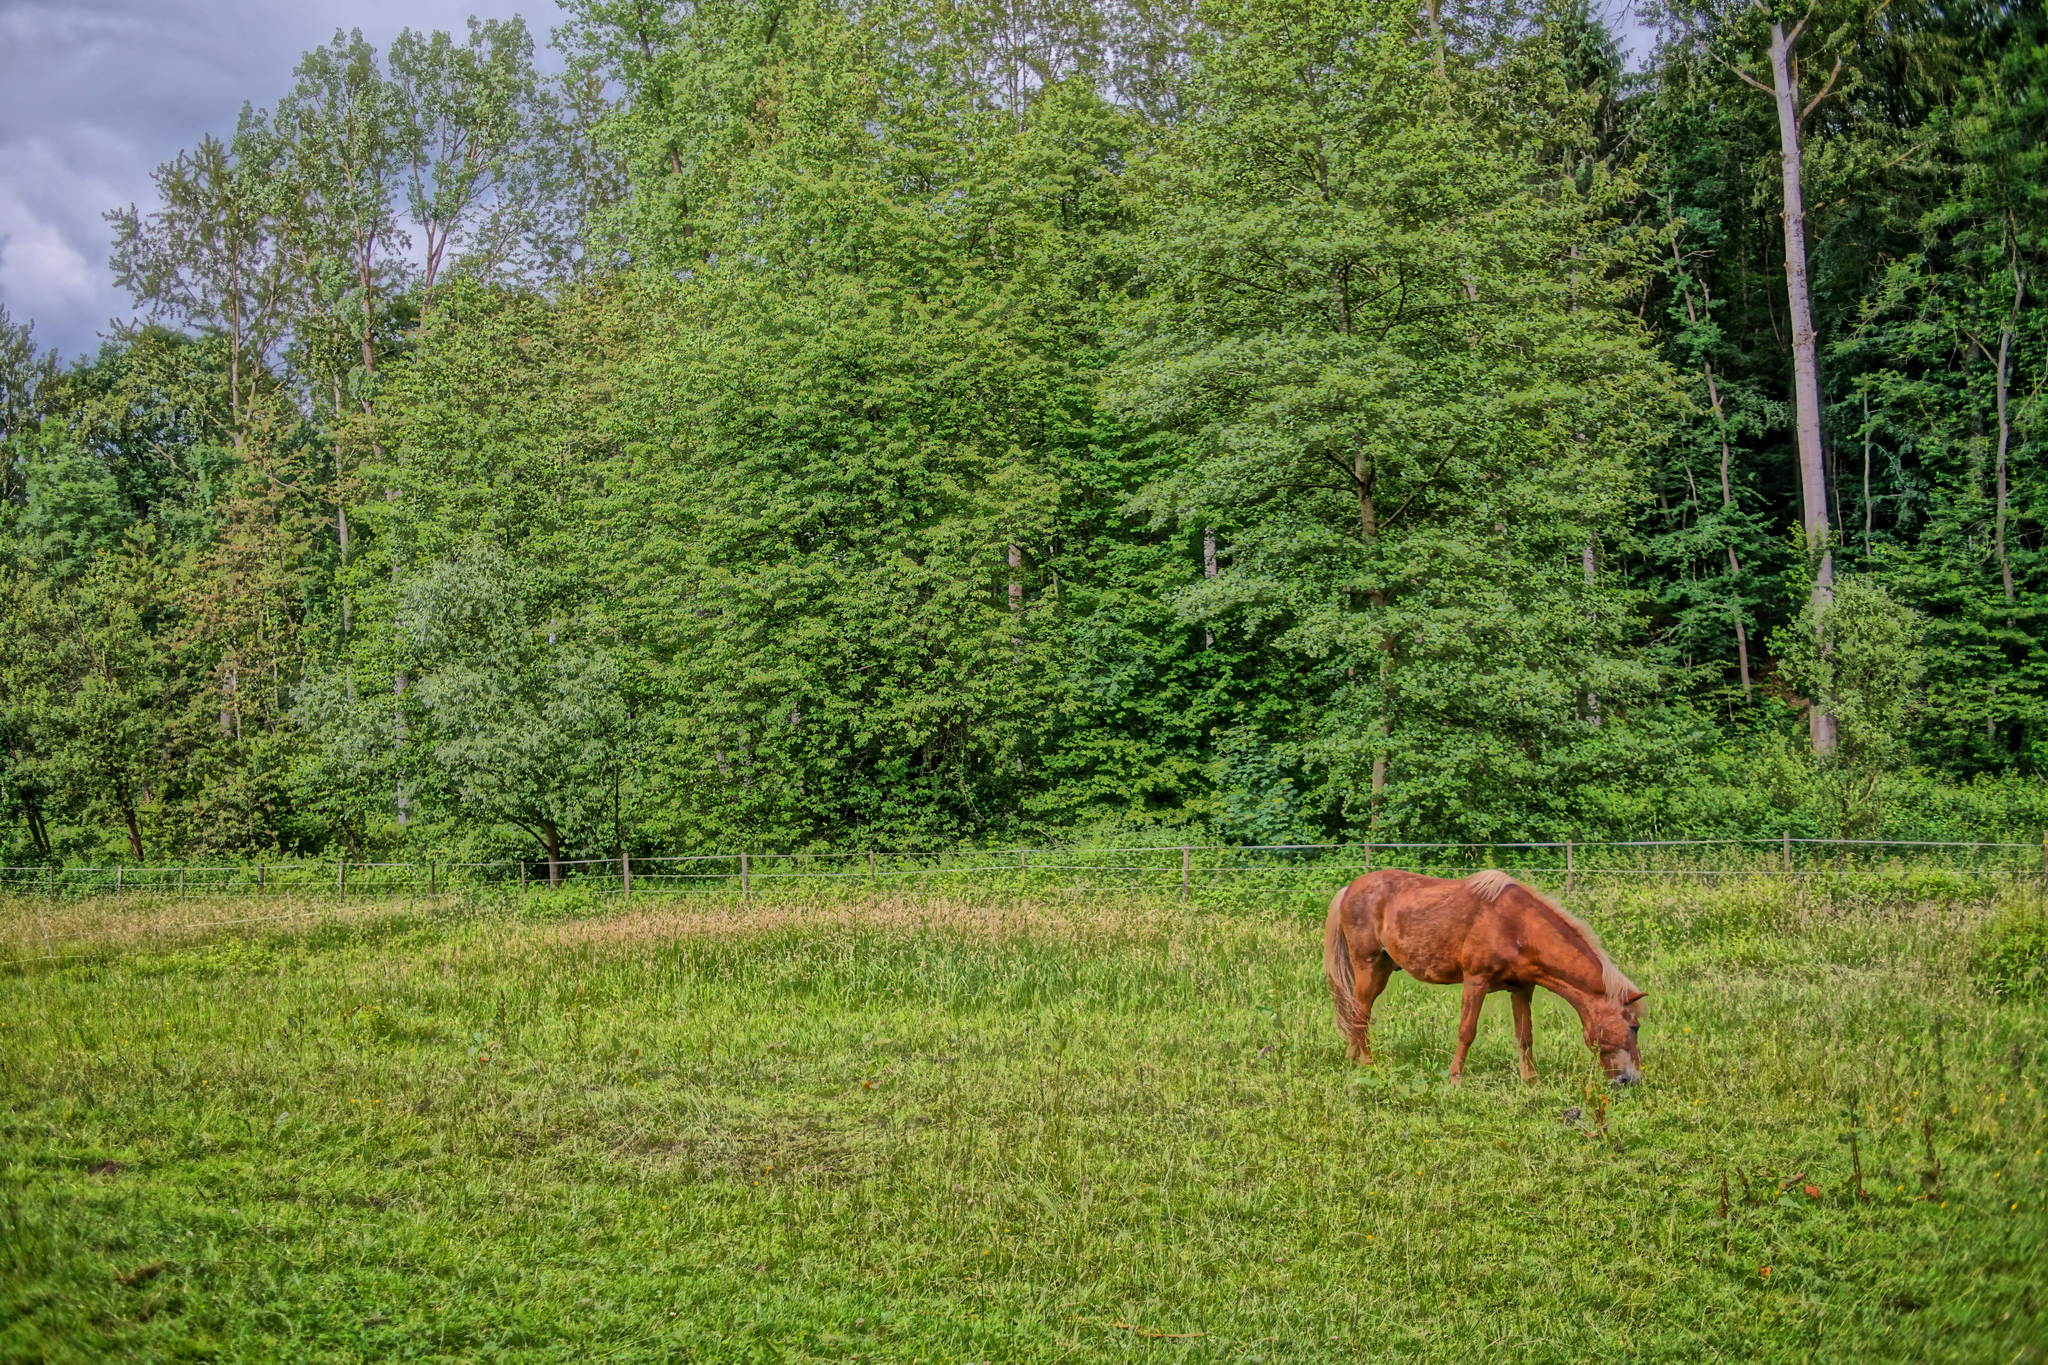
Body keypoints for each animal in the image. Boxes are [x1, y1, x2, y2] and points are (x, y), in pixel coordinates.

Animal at [1324, 868, 1645, 1084]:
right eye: (1634, 1027)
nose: (1632, 1079)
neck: (1515, 925)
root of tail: (1349, 888)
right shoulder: (1475, 981)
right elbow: (1467, 1031)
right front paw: (1455, 1078)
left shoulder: (1522, 988)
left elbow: (1525, 1035)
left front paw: (1530, 1080)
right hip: (1369, 965)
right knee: (1360, 1012)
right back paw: (1368, 1063)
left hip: (1379, 970)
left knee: (1356, 1010)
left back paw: (1352, 1056)